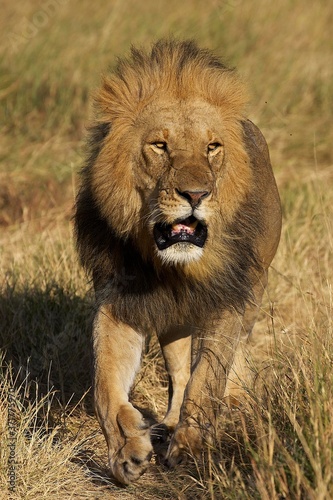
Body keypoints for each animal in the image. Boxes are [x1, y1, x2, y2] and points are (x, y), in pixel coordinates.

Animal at [74, 39, 280, 484]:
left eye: (212, 148)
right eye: (160, 145)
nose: (196, 194)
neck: (173, 266)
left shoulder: (228, 300)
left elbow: (208, 380)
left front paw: (189, 449)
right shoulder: (121, 298)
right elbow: (104, 383)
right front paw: (126, 452)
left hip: (254, 290)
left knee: (228, 357)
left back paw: (232, 402)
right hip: (173, 319)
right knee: (179, 371)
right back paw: (167, 423)